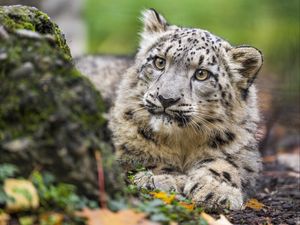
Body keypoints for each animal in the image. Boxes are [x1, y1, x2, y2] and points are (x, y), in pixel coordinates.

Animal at [108, 8, 262, 209]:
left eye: (202, 74)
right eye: (159, 62)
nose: (166, 99)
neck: (182, 141)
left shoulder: (243, 151)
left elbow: (227, 165)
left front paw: (215, 191)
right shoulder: (123, 145)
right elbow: (145, 158)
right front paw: (164, 178)